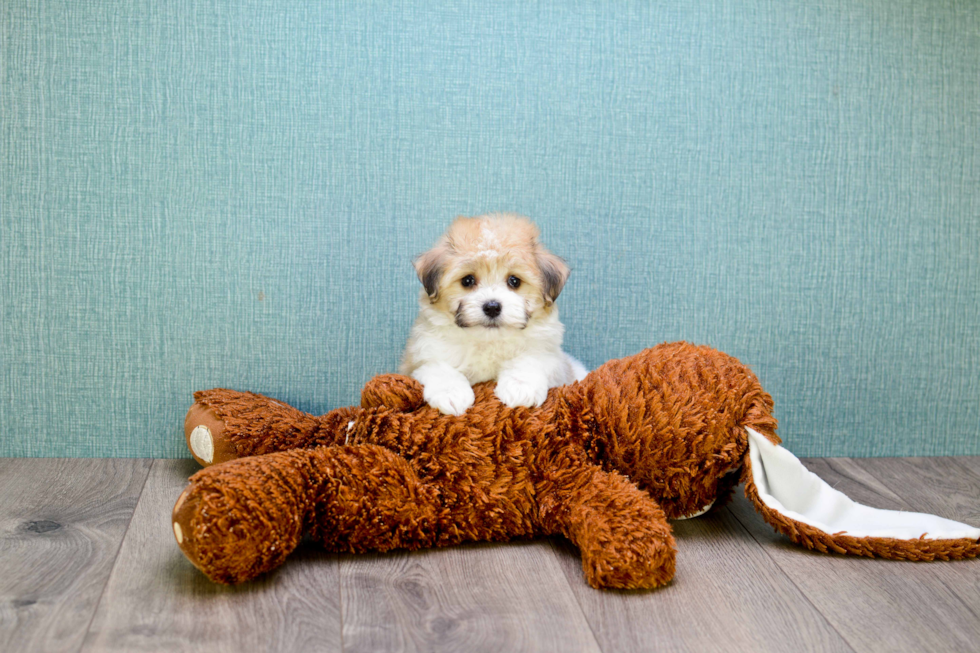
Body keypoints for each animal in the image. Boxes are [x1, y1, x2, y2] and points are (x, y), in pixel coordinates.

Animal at [400, 215, 584, 418]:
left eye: (514, 281)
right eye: (467, 280)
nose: (492, 307)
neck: (488, 341)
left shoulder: (552, 358)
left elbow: (530, 360)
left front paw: (520, 387)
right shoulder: (418, 360)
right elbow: (438, 367)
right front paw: (451, 394)